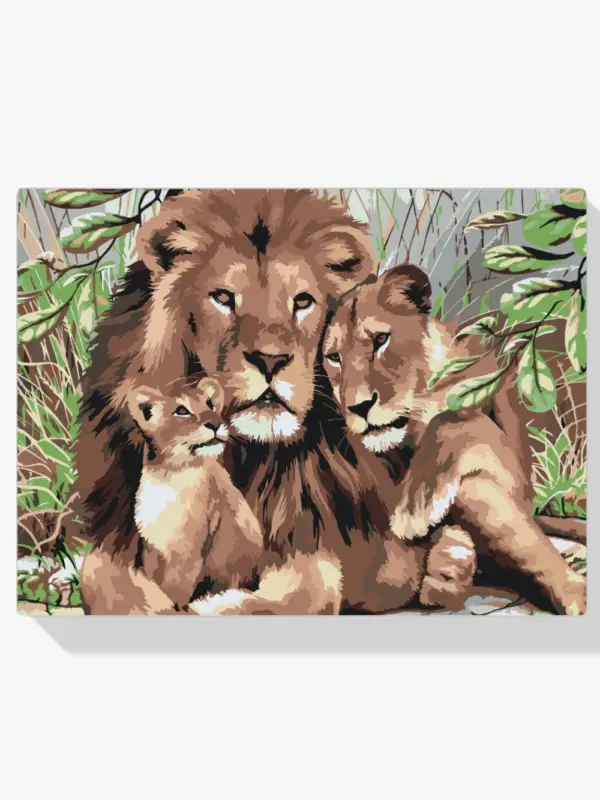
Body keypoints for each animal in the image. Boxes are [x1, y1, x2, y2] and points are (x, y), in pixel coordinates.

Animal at [75, 191, 431, 615]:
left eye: (303, 301)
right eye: (223, 298)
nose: (270, 359)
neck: (249, 456)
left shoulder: (375, 557)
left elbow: (313, 587)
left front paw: (217, 605)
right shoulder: (118, 537)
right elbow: (102, 576)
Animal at [323, 264, 586, 615]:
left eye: (380, 340)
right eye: (334, 357)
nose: (358, 407)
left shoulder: (515, 473)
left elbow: (450, 419)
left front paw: (414, 509)